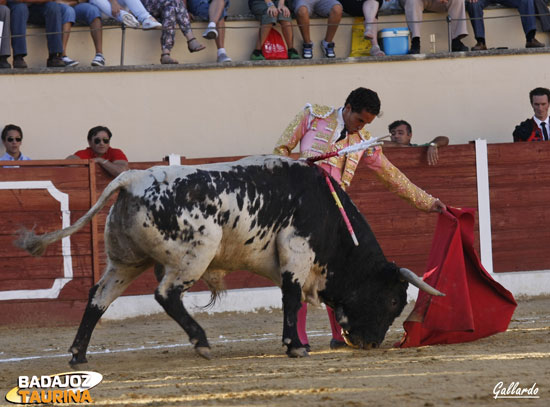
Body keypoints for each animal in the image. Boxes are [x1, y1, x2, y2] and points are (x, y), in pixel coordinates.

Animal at [16, 155, 444, 364]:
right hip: (196, 253)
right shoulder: (296, 254)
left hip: (125, 261)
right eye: (394, 299)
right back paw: (202, 342)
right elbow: (291, 299)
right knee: (166, 294)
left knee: (98, 297)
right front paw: (295, 347)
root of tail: (131, 179)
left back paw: (78, 354)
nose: (369, 344)